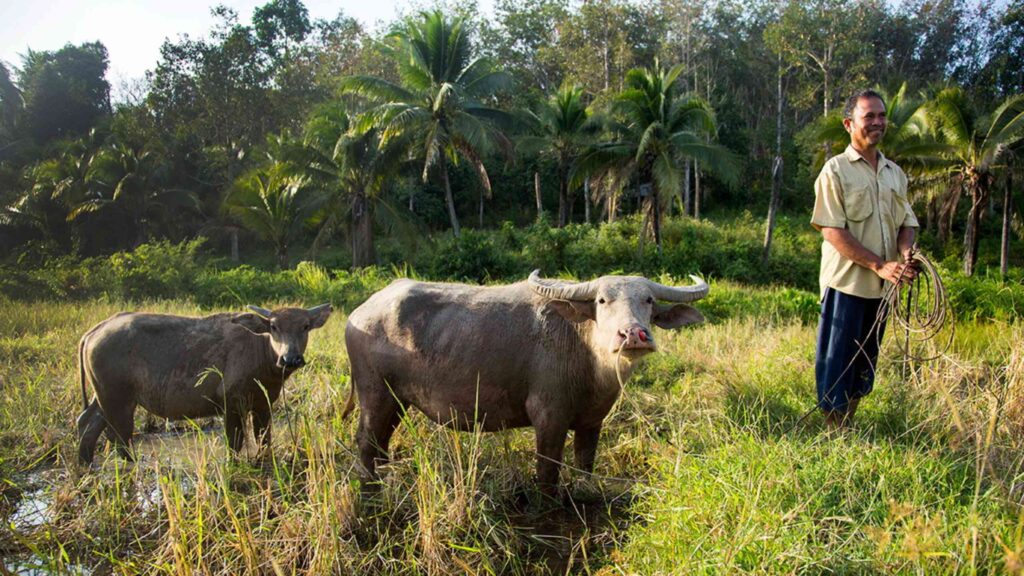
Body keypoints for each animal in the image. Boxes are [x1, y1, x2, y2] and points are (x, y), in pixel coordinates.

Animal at [76, 305, 331, 461]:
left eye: (305, 326)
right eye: (273, 326)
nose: (290, 358)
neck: (259, 351)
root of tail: (93, 332)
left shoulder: (263, 405)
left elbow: (264, 440)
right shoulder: (232, 403)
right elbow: (235, 443)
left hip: (104, 398)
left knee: (87, 425)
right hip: (118, 400)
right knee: (119, 440)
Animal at [339, 268, 708, 487]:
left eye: (648, 300)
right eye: (603, 300)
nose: (633, 334)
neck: (583, 350)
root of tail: (359, 313)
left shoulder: (592, 422)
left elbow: (584, 466)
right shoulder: (548, 417)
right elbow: (547, 475)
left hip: (397, 401)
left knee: (381, 443)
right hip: (376, 394)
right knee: (366, 443)